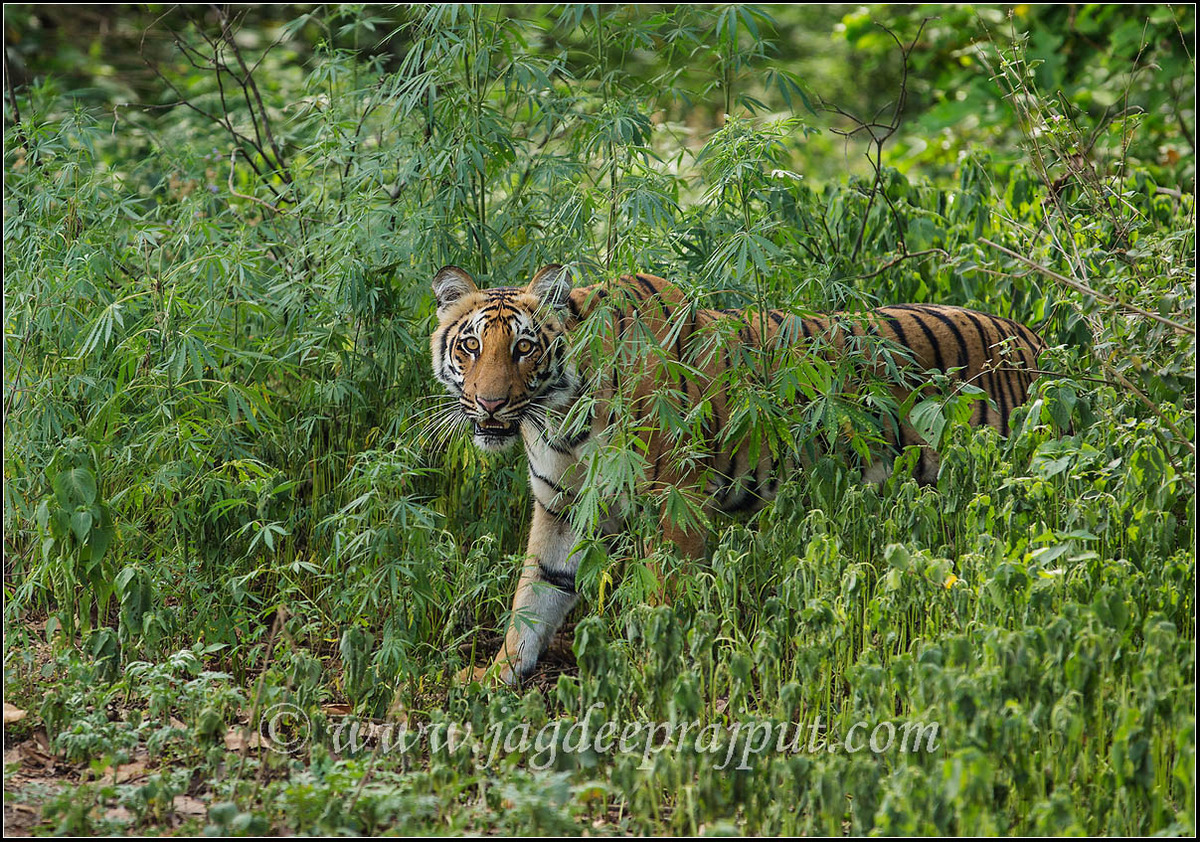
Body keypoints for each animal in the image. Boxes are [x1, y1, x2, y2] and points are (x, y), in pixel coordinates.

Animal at [430, 263, 1045, 686]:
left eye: (524, 348)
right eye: (472, 345)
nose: (489, 404)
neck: (558, 416)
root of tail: (1033, 338)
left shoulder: (676, 501)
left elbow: (663, 599)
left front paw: (651, 675)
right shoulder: (563, 508)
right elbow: (534, 598)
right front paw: (491, 678)